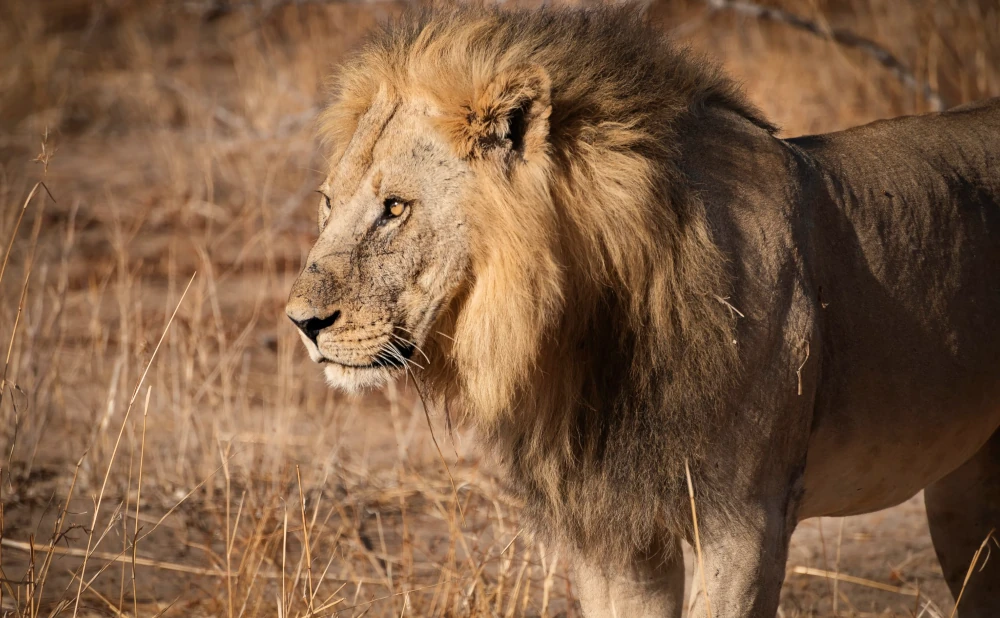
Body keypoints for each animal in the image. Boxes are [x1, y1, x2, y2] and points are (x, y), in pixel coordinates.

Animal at [284, 6, 1000, 616]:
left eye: (395, 208)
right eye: (328, 202)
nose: (301, 323)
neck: (588, 332)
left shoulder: (743, 523)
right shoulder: (611, 534)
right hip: (964, 494)